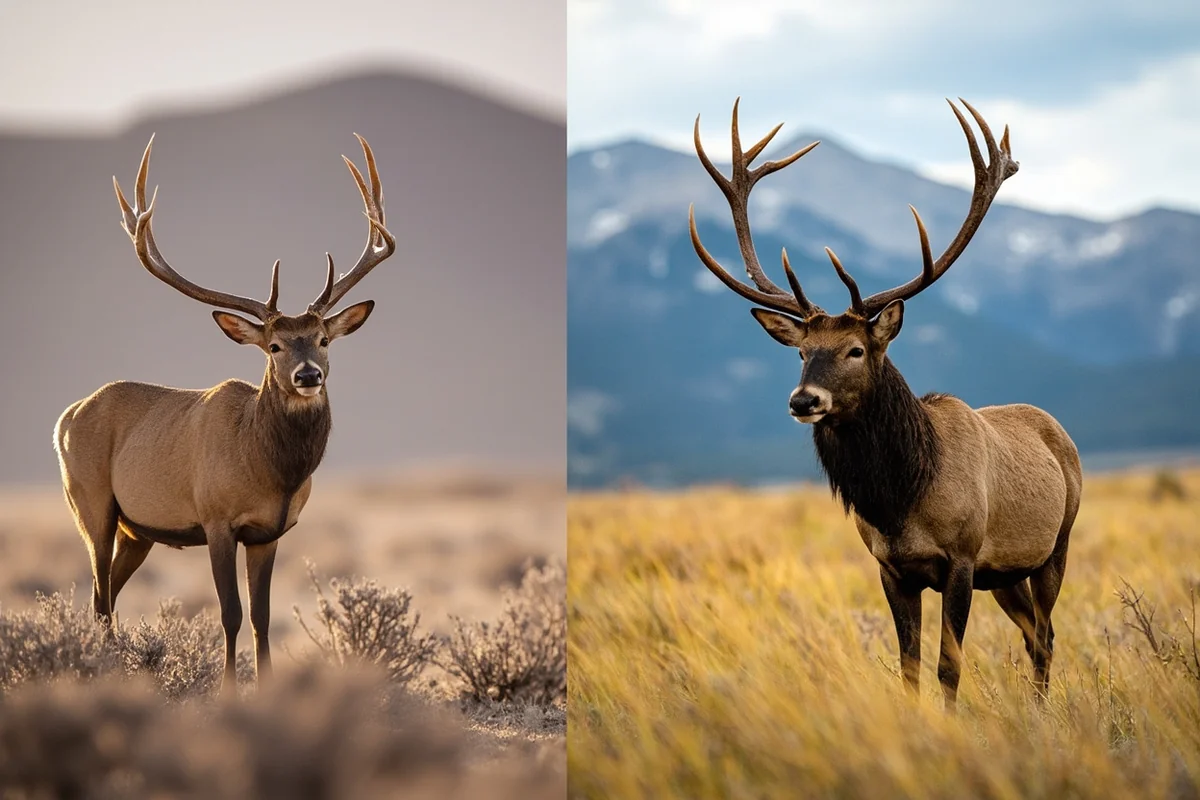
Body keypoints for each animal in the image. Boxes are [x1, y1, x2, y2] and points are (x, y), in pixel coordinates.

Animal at [53, 133, 396, 696]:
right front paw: (230, 692)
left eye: (323, 340)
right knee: (100, 599)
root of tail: (65, 416)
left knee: (106, 600)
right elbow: (230, 613)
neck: (269, 469)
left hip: (136, 530)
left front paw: (268, 688)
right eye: (274, 346)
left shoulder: (270, 531)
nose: (308, 374)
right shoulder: (215, 518)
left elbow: (262, 616)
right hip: (90, 502)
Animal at [688, 99, 1081, 711]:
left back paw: (1040, 713)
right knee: (1034, 634)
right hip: (1007, 573)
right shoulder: (891, 568)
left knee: (1045, 635)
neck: (902, 498)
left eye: (855, 348)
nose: (804, 399)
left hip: (1055, 546)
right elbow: (909, 667)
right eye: (801, 352)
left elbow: (948, 666)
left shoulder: (963, 558)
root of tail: (1058, 432)